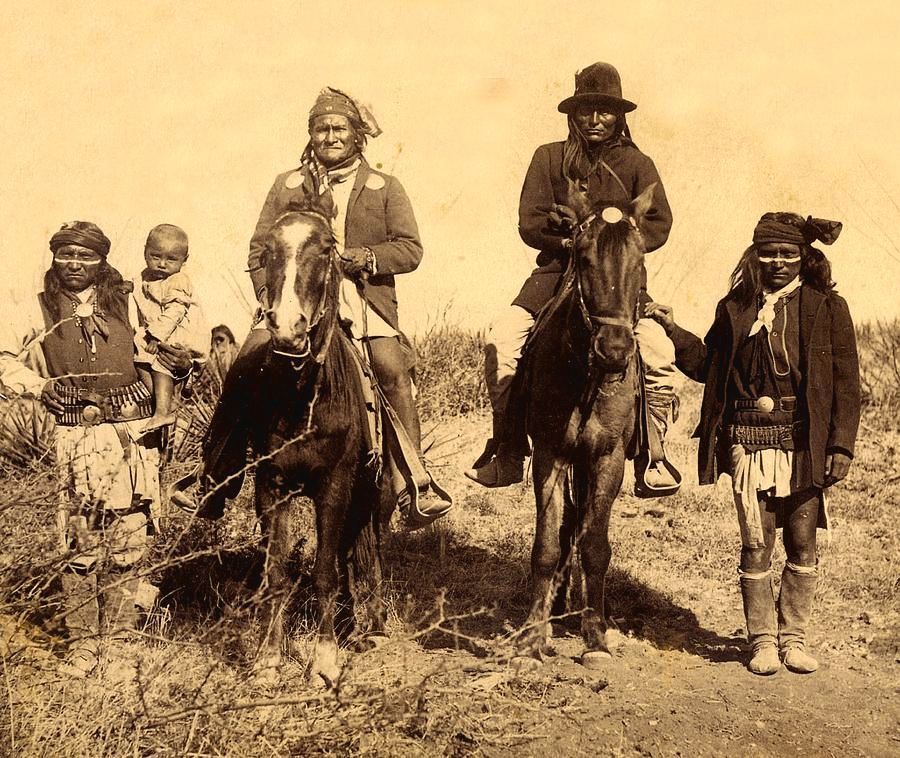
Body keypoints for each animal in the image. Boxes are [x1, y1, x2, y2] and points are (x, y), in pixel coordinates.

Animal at [250, 209, 386, 688]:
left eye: (326, 248)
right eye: (268, 251)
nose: (287, 329)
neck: (305, 399)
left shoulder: (334, 486)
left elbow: (325, 571)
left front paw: (325, 662)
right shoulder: (272, 487)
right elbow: (275, 573)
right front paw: (268, 659)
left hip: (368, 495)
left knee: (363, 551)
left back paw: (370, 626)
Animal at [512, 183, 652, 672]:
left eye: (641, 258)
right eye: (583, 256)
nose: (614, 350)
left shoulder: (608, 459)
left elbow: (595, 545)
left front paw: (596, 637)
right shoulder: (551, 455)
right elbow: (546, 546)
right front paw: (532, 639)